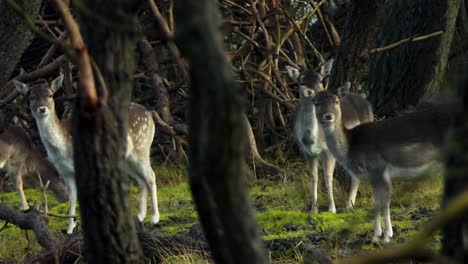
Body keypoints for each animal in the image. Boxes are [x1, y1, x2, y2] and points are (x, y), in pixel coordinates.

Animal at [13, 74, 160, 233]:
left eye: (50, 95)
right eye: (31, 97)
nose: (42, 108)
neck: (61, 149)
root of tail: (149, 114)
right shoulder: (64, 171)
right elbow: (72, 196)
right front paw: (70, 229)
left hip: (142, 146)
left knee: (151, 175)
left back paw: (155, 218)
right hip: (127, 158)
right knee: (141, 180)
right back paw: (140, 216)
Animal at [286, 59, 372, 212]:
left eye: (321, 79)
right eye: (301, 81)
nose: (314, 92)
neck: (312, 138)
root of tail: (366, 100)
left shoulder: (328, 150)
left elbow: (328, 176)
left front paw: (332, 209)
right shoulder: (307, 152)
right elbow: (314, 176)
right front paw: (313, 209)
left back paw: (350, 204)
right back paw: (350, 204)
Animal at [312, 83, 456, 242]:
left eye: (336, 101)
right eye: (316, 103)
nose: (328, 116)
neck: (351, 147)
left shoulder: (380, 169)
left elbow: (384, 203)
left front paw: (387, 236)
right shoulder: (373, 176)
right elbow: (376, 203)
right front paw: (376, 236)